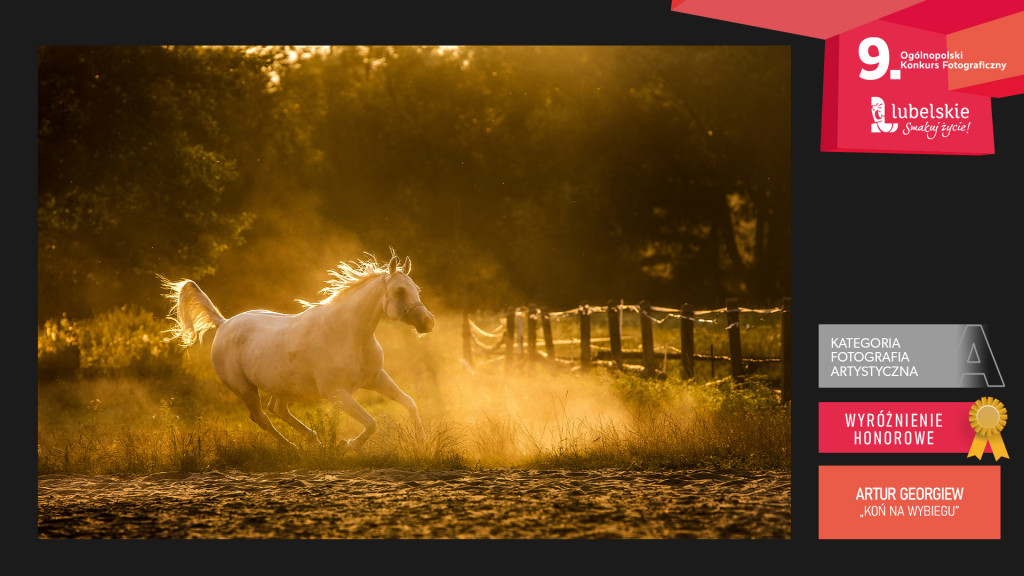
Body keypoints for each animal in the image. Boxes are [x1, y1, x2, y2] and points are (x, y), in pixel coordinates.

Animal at [157, 253, 434, 450]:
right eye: (399, 291)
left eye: (417, 290)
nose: (428, 323)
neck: (348, 334)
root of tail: (223, 324)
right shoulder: (336, 393)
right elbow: (372, 423)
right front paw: (346, 446)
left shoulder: (376, 379)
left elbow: (409, 403)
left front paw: (422, 443)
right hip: (245, 389)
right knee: (261, 417)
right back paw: (294, 448)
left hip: (282, 387)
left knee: (277, 409)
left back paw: (314, 441)